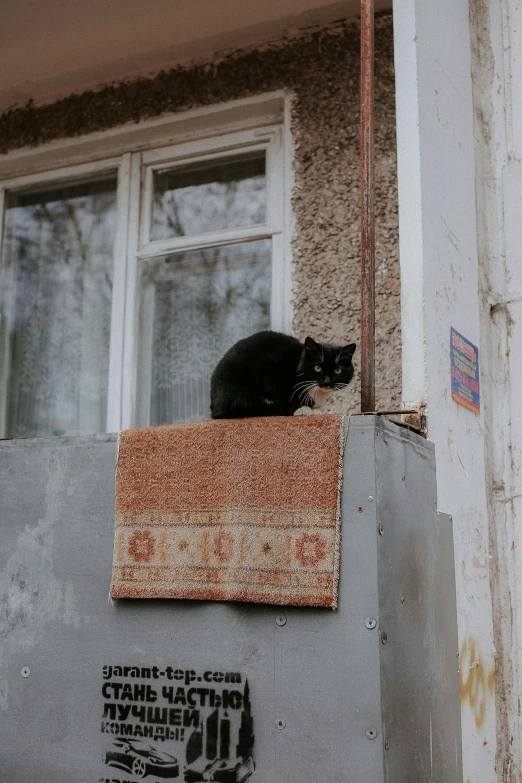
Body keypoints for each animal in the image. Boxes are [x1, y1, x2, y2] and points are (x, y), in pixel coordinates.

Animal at [210, 330, 354, 420]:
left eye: (337, 370)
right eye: (317, 367)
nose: (327, 381)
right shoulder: (271, 370)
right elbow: (285, 394)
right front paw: (302, 409)